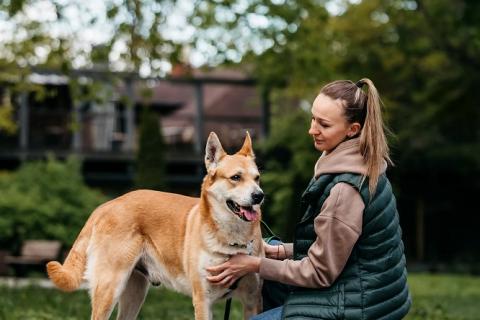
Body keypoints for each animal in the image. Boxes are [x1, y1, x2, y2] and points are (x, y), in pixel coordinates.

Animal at [47, 132, 264, 320]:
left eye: (257, 178)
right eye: (235, 177)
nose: (259, 196)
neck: (232, 239)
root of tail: (107, 205)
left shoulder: (252, 300)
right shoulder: (203, 300)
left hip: (134, 292)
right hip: (109, 288)